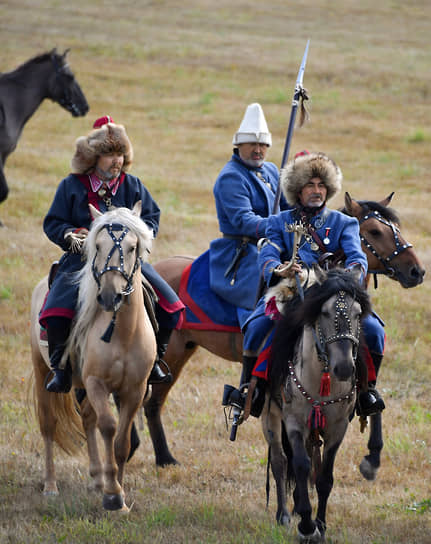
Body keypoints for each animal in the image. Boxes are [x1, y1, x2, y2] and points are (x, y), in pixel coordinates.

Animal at [31, 203, 157, 510]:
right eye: (97, 246)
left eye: (133, 247)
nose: (110, 297)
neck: (123, 332)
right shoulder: (97, 383)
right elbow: (108, 427)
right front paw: (112, 494)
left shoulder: (134, 390)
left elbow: (122, 442)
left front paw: (118, 494)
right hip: (43, 371)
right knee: (49, 425)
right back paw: (50, 485)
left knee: (87, 418)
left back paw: (97, 479)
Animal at [145, 193, 426, 474]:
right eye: (375, 231)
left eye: (395, 228)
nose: (417, 271)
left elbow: (371, 393)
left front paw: (373, 455)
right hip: (170, 354)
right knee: (150, 402)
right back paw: (164, 457)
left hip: (183, 350)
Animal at [264, 266, 372, 540]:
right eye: (324, 312)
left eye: (358, 314)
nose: (344, 368)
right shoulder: (294, 422)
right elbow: (301, 466)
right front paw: (306, 525)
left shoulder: (338, 427)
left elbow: (324, 477)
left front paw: (320, 526)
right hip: (270, 417)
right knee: (280, 462)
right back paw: (284, 514)